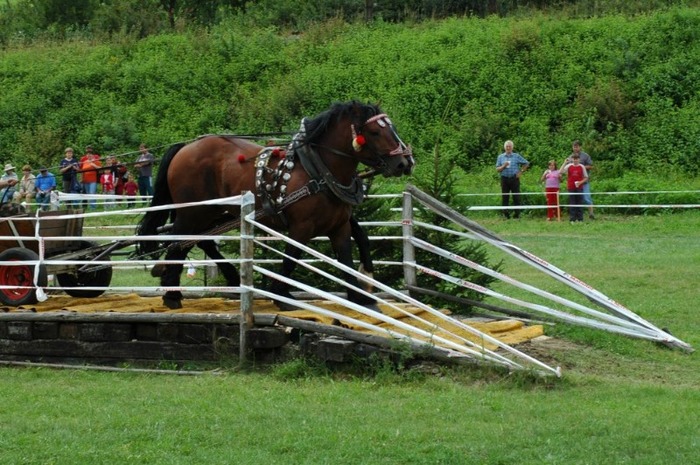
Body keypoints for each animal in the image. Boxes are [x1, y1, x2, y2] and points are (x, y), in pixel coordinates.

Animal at [134, 103, 412, 310]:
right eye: (374, 132)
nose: (404, 162)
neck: (319, 171)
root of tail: (186, 146)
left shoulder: (340, 227)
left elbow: (346, 259)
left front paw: (361, 298)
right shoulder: (302, 227)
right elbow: (291, 257)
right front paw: (281, 295)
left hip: (210, 212)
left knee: (197, 241)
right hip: (193, 211)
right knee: (178, 240)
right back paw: (172, 293)